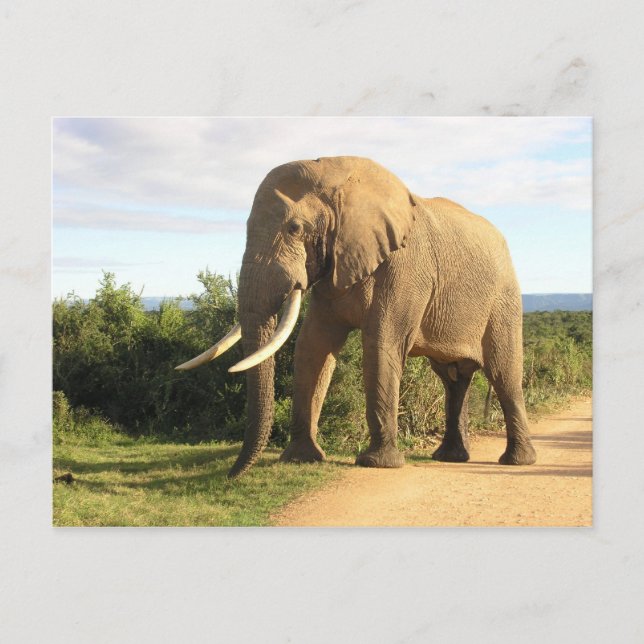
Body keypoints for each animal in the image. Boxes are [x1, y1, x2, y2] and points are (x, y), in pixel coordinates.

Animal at [177, 156, 537, 478]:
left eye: (294, 228)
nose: (230, 476)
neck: (338, 176)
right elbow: (312, 346)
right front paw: (300, 459)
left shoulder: (404, 268)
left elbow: (381, 345)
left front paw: (377, 464)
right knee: (453, 378)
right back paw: (450, 457)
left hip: (503, 300)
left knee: (503, 373)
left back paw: (516, 461)